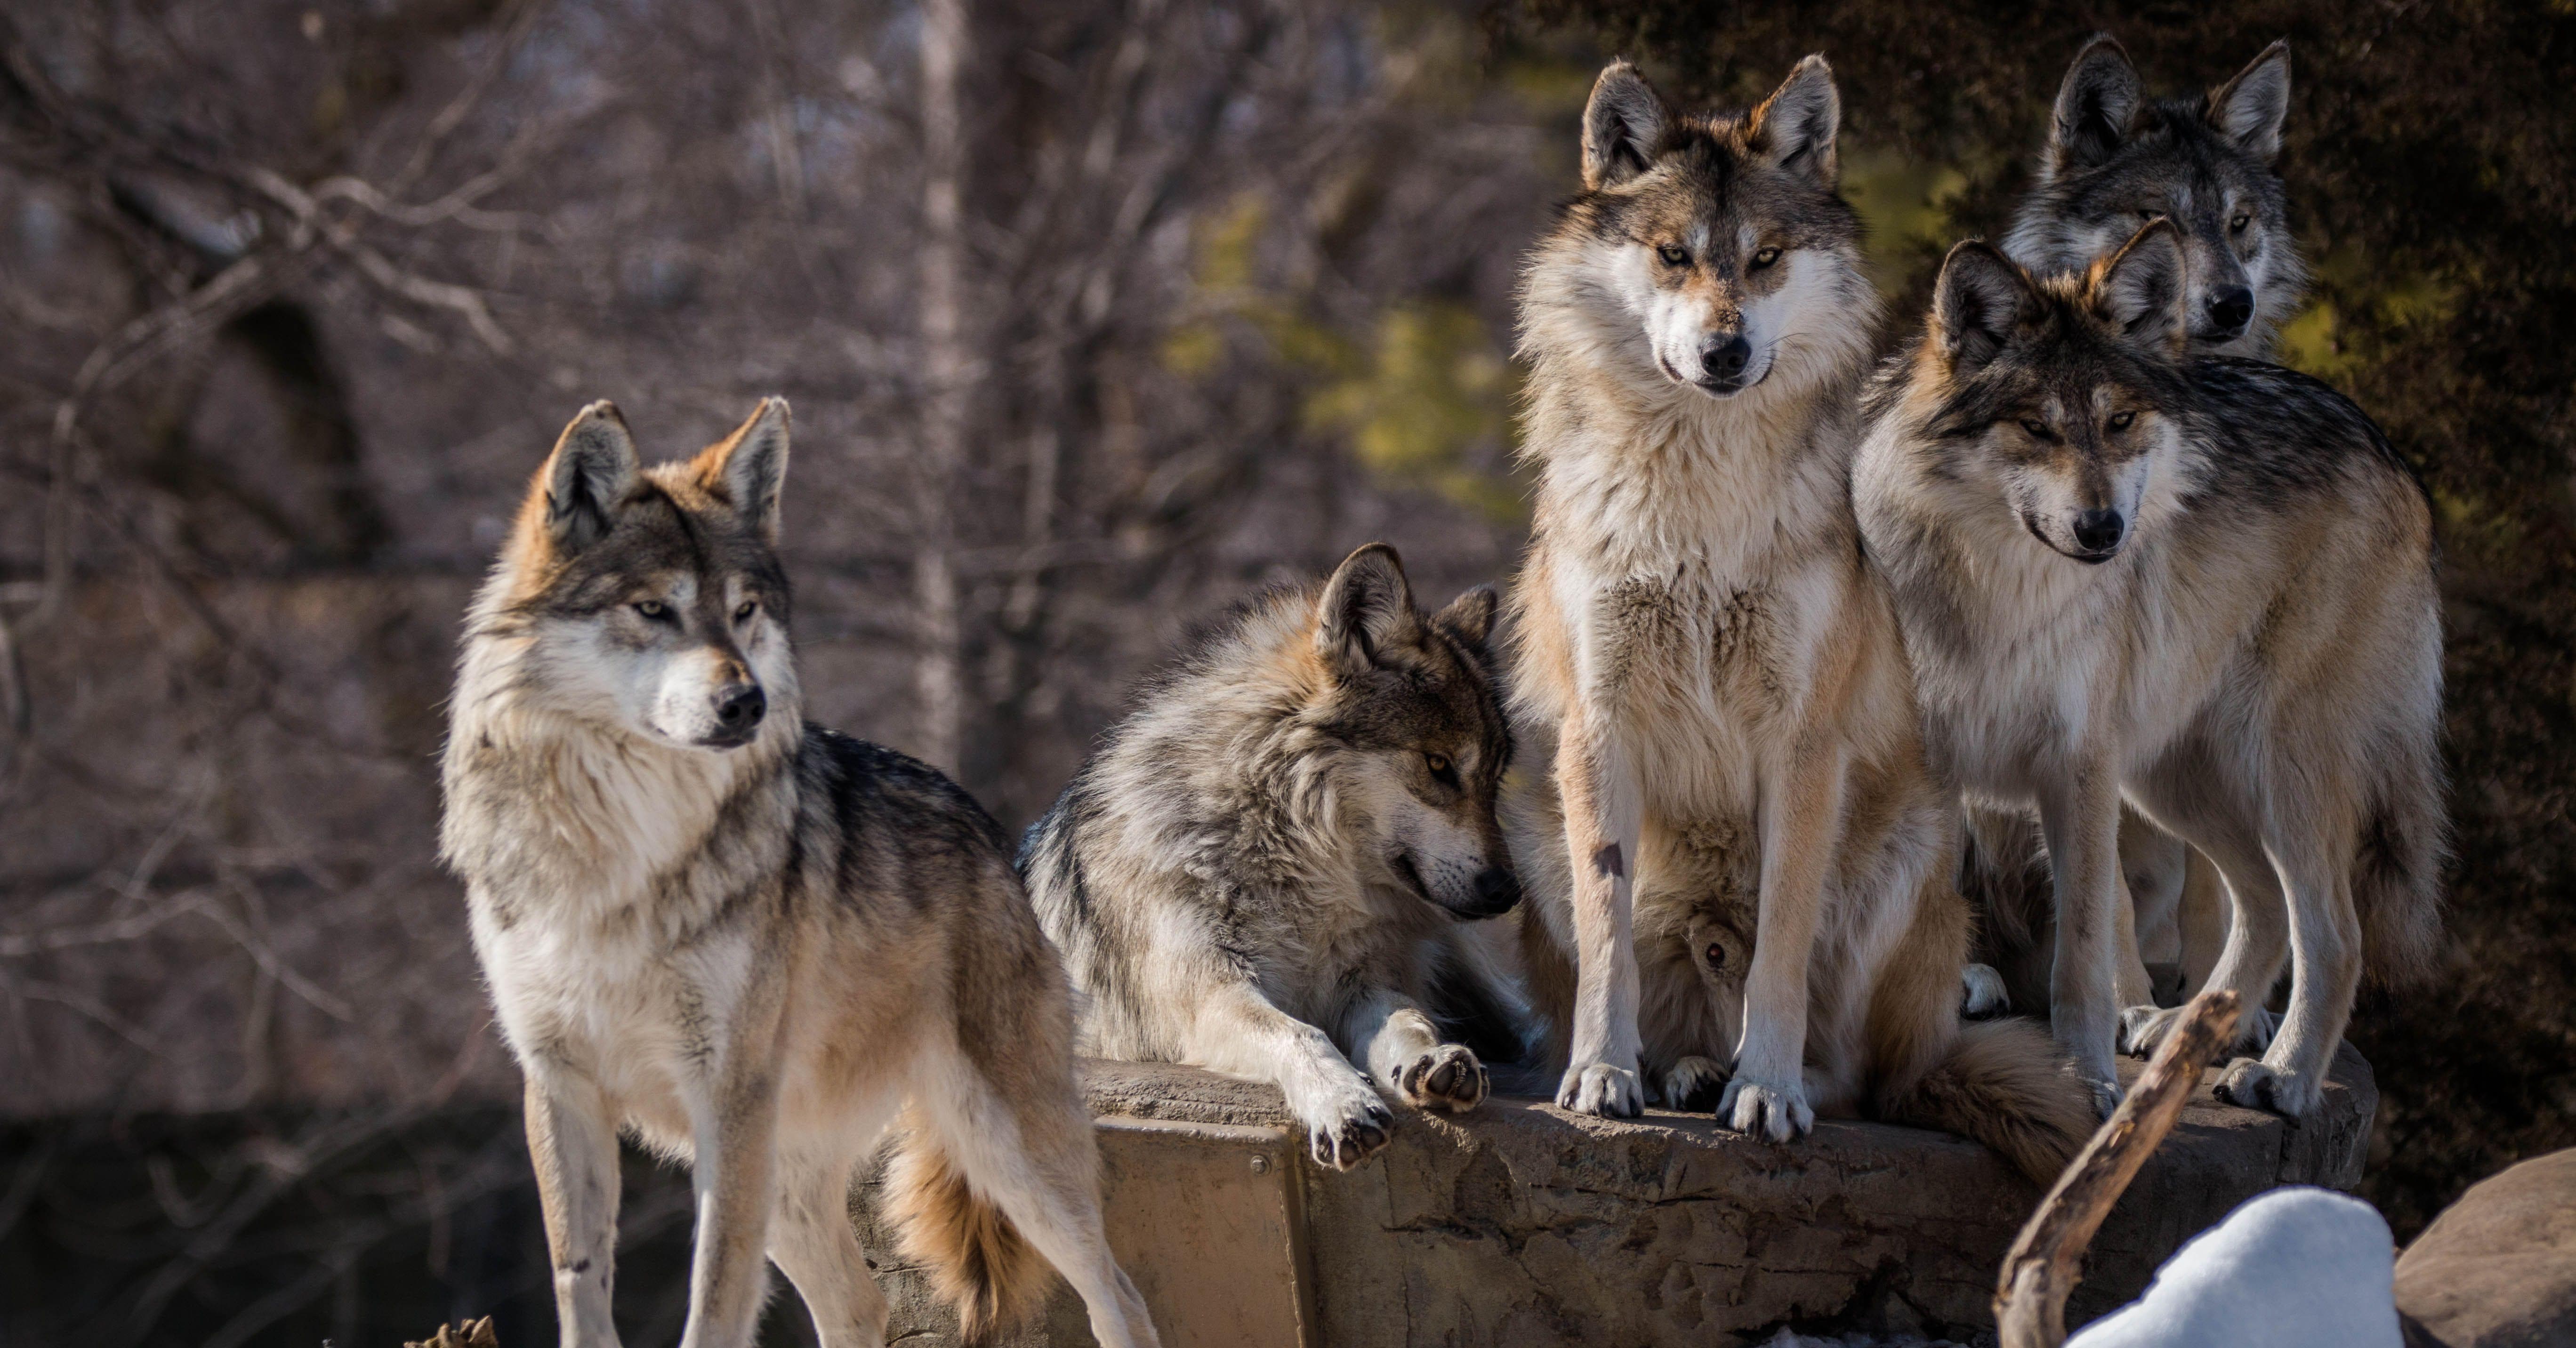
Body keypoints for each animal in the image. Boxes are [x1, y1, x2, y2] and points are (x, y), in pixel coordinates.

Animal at [443, 402, 1159, 1348]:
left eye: (744, 611)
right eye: (653, 608)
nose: (744, 701)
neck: (620, 854)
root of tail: (993, 830)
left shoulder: (729, 1098)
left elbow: (713, 1303)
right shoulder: (559, 1085)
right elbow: (578, 1282)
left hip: (1007, 1155)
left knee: (1120, 1293)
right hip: (791, 1181)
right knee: (859, 1305)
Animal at [1010, 544, 1525, 1175]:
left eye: (1495, 778)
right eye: (1438, 766)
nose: (1508, 891)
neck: (1299, 865)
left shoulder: (1365, 985)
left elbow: (1411, 1018)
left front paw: (1433, 1062)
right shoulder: (1214, 995)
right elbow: (1299, 1033)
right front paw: (1344, 1102)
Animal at [1494, 53, 2092, 1175]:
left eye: (1765, 258)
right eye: (1675, 256)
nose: (1724, 352)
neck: (1696, 509)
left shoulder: (1801, 743)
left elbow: (1777, 946)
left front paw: (1766, 1091)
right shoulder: (1599, 728)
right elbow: (1606, 934)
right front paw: (1601, 1075)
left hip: (1917, 841)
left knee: (1866, 1078)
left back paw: (1771, 1078)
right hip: (1532, 824)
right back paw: (1679, 1069)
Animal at [1865, 226, 2442, 1123]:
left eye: (2120, 421)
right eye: (2036, 427)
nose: (2104, 529)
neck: (2001, 592)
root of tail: (2384, 445)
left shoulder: (2077, 767)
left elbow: (2082, 952)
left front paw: (2086, 1084)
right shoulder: (1933, 765)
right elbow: (1933, 913)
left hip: (2273, 765)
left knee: (2333, 932)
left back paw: (2283, 1075)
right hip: (2173, 778)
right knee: (2264, 904)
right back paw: (2186, 1032)